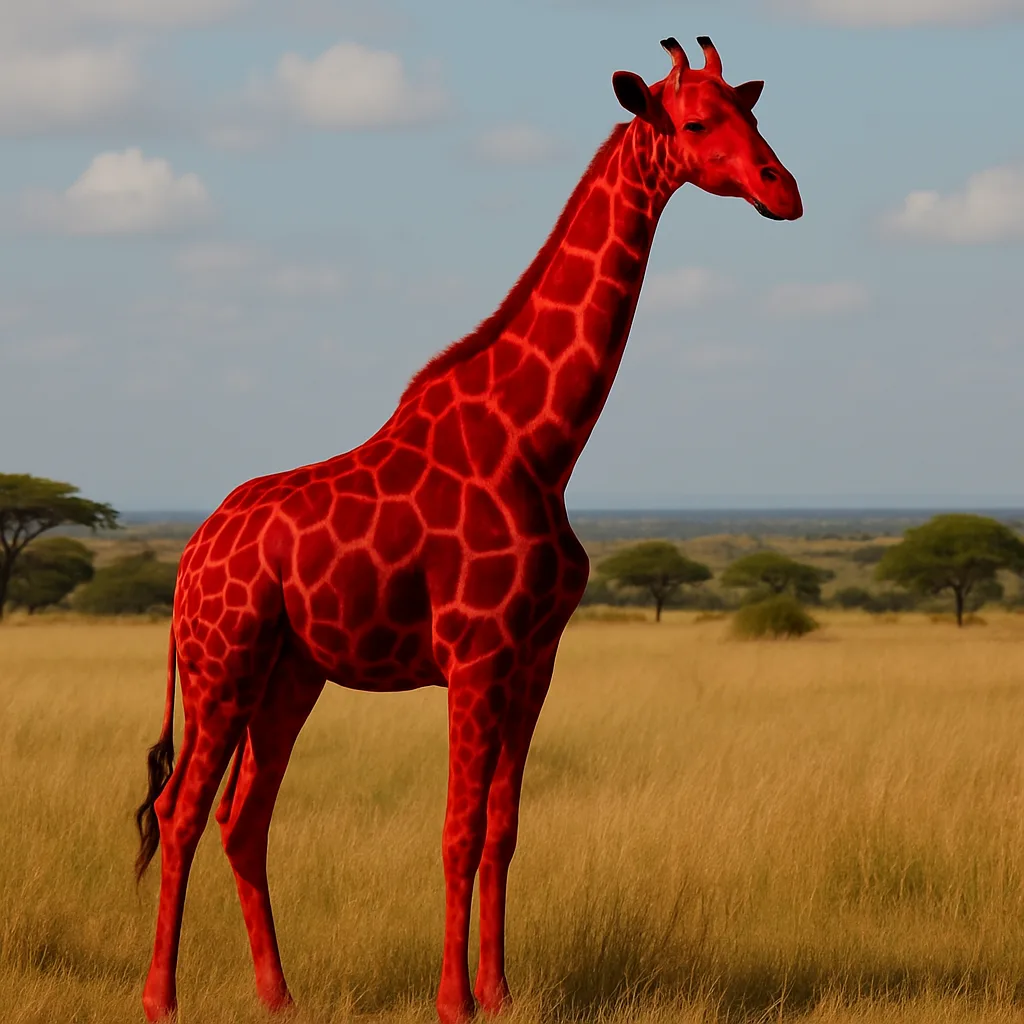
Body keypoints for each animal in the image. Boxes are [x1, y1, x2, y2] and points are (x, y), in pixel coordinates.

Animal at [135, 35, 802, 1024]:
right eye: (691, 122)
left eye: (751, 112)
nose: (782, 190)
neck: (541, 446)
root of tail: (189, 555)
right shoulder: (477, 653)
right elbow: (454, 830)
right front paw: (453, 1001)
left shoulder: (535, 657)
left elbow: (502, 827)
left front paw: (501, 989)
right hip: (224, 662)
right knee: (181, 812)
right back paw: (162, 1000)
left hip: (290, 674)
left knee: (241, 818)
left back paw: (280, 995)